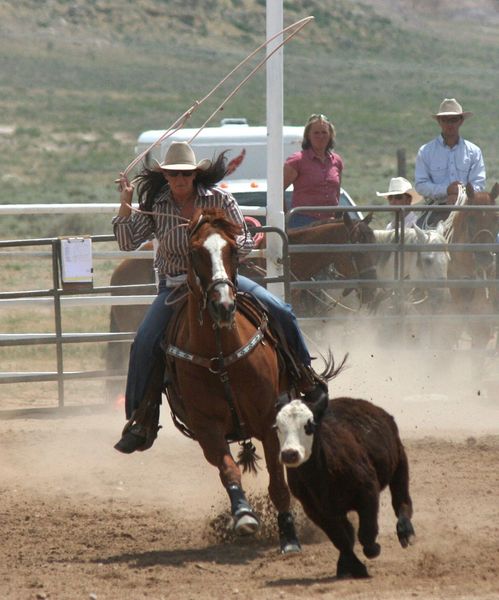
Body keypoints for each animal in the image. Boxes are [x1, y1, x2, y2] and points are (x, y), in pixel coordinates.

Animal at [162, 206, 336, 552]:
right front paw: (243, 515)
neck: (220, 351)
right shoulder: (207, 429)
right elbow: (229, 471)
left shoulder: (270, 419)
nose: (223, 305)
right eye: (195, 252)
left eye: (232, 249)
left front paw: (289, 537)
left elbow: (279, 484)